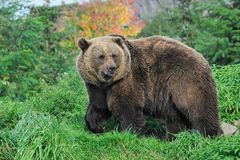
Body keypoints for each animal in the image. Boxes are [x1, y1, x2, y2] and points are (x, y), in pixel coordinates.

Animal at [75, 34, 223, 139]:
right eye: (101, 56)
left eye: (113, 55)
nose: (112, 68)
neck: (107, 82)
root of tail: (201, 57)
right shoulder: (95, 86)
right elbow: (99, 107)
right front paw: (97, 127)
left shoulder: (127, 79)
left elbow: (127, 107)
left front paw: (129, 133)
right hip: (169, 93)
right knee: (174, 117)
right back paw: (173, 137)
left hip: (184, 78)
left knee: (197, 106)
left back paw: (210, 134)